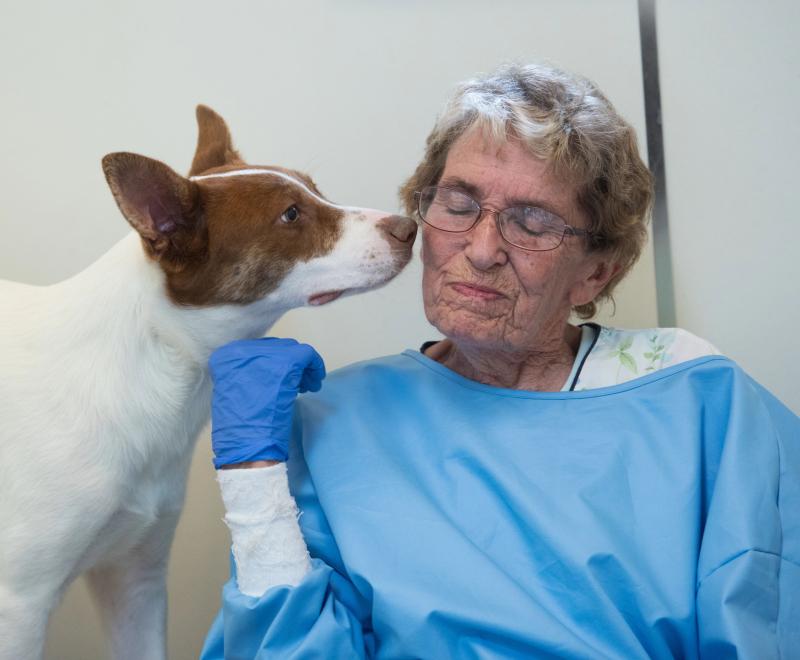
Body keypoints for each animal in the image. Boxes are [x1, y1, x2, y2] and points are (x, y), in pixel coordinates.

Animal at [0, 105, 422, 656]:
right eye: (290, 215)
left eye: (315, 188)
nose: (409, 227)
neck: (151, 362)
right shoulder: (19, 605)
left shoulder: (135, 576)